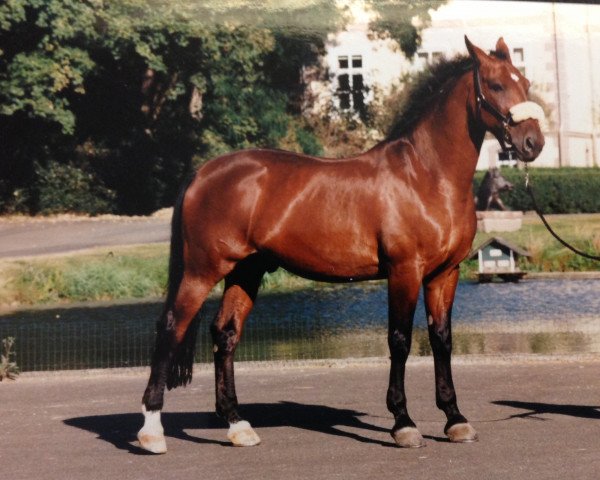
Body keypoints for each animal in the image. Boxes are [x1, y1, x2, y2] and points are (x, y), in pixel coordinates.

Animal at [139, 35, 544, 452]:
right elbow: (400, 340)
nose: (532, 143)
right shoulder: (404, 272)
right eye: (496, 85)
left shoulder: (445, 274)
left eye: (525, 83)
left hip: (245, 272)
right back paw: (152, 431)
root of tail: (203, 172)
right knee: (170, 328)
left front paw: (455, 419)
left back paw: (238, 426)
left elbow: (442, 340)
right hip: (201, 271)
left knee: (225, 334)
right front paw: (403, 423)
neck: (426, 175)